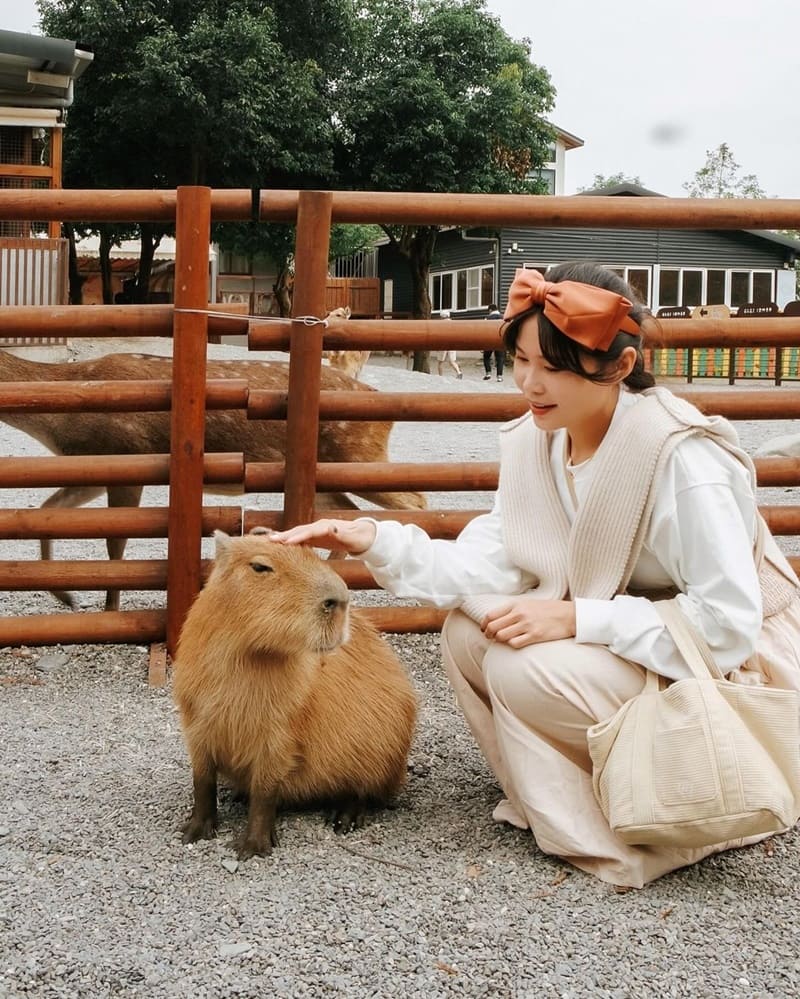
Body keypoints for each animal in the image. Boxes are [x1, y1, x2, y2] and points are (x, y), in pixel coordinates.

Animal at [0, 352, 424, 612]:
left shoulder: (127, 451)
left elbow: (115, 543)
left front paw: (109, 607)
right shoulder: (93, 468)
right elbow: (48, 512)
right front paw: (66, 597)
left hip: (362, 454)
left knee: (416, 500)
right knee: (346, 514)